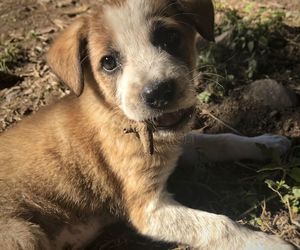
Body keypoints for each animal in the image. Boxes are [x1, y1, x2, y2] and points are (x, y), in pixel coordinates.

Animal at [0, 0, 296, 249]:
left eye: (169, 38)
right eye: (108, 62)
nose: (159, 92)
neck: (121, 116)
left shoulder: (177, 143)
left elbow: (220, 140)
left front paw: (267, 143)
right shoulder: (148, 209)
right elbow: (218, 225)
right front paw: (269, 243)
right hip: (23, 235)